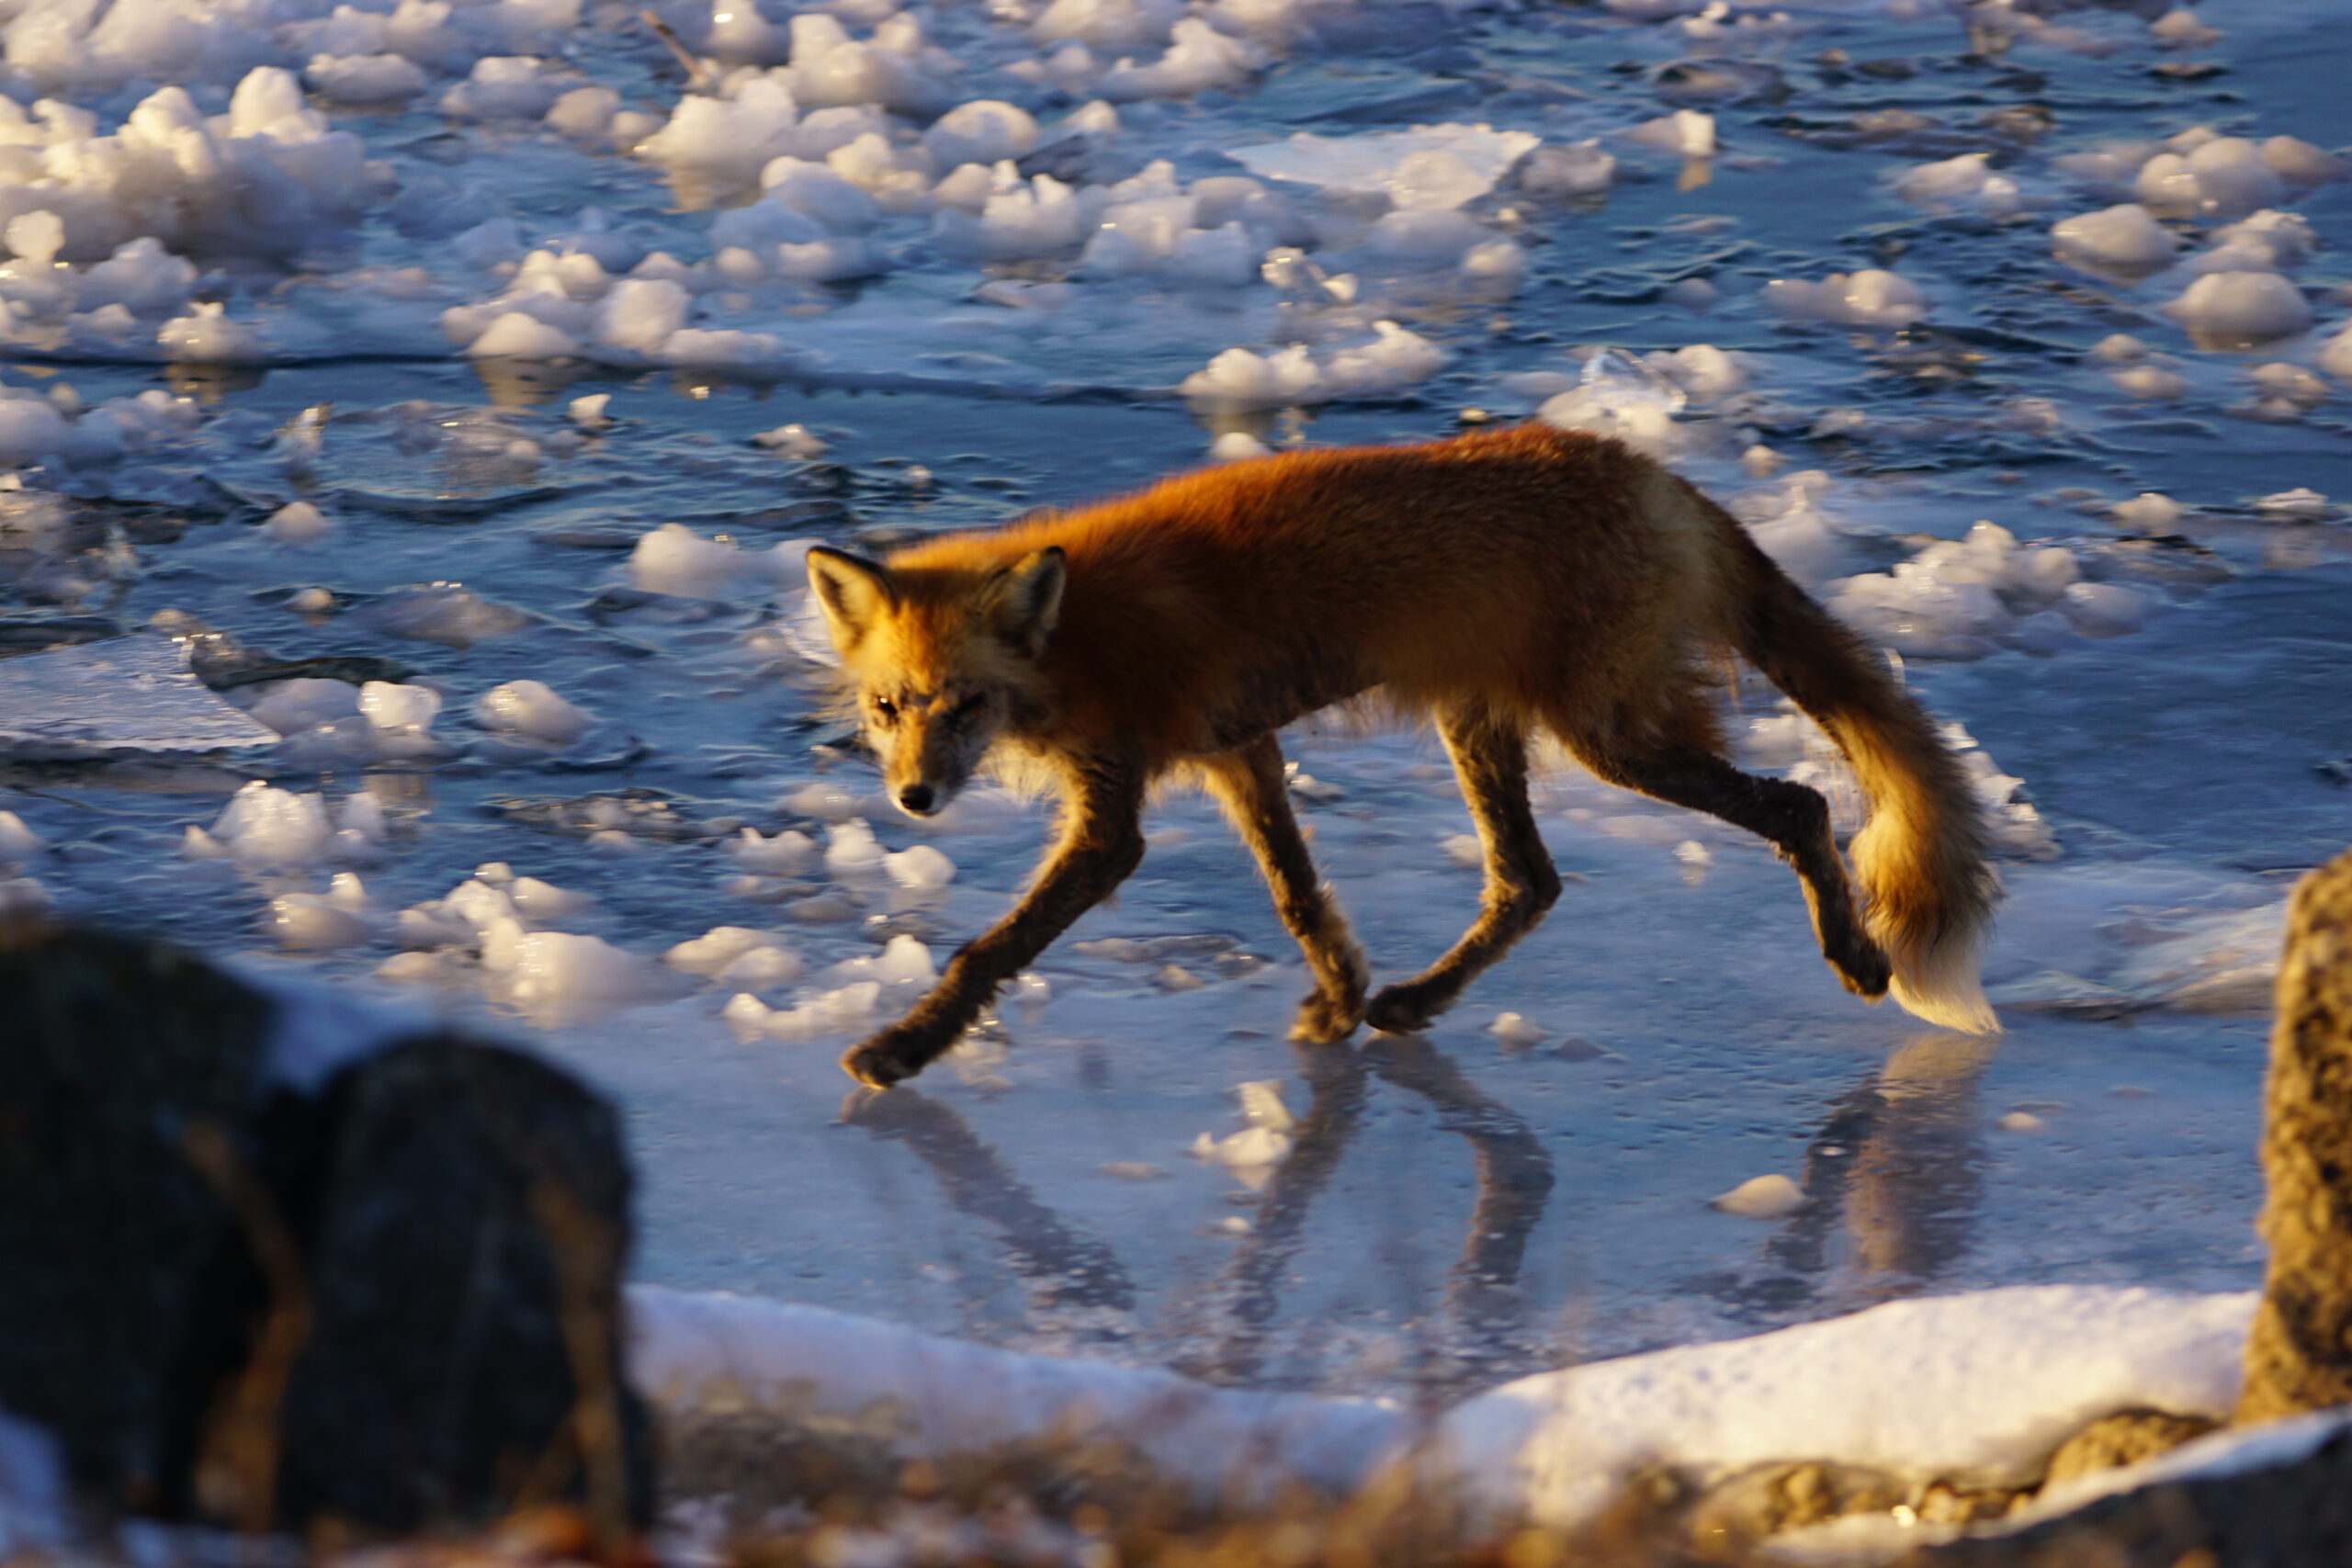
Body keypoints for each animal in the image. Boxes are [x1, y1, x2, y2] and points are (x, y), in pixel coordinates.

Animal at [805, 422, 1999, 1090]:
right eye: (889, 707)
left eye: (964, 707)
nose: (913, 798)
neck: (1079, 636)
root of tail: (1646, 472)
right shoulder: (1239, 751)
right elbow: (1298, 898)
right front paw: (1337, 1000)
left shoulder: (1113, 815)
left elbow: (988, 952)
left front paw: (903, 1049)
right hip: (1483, 728)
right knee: (1529, 882)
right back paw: (1415, 1003)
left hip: (1611, 741)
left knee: (1800, 805)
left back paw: (1856, 957)